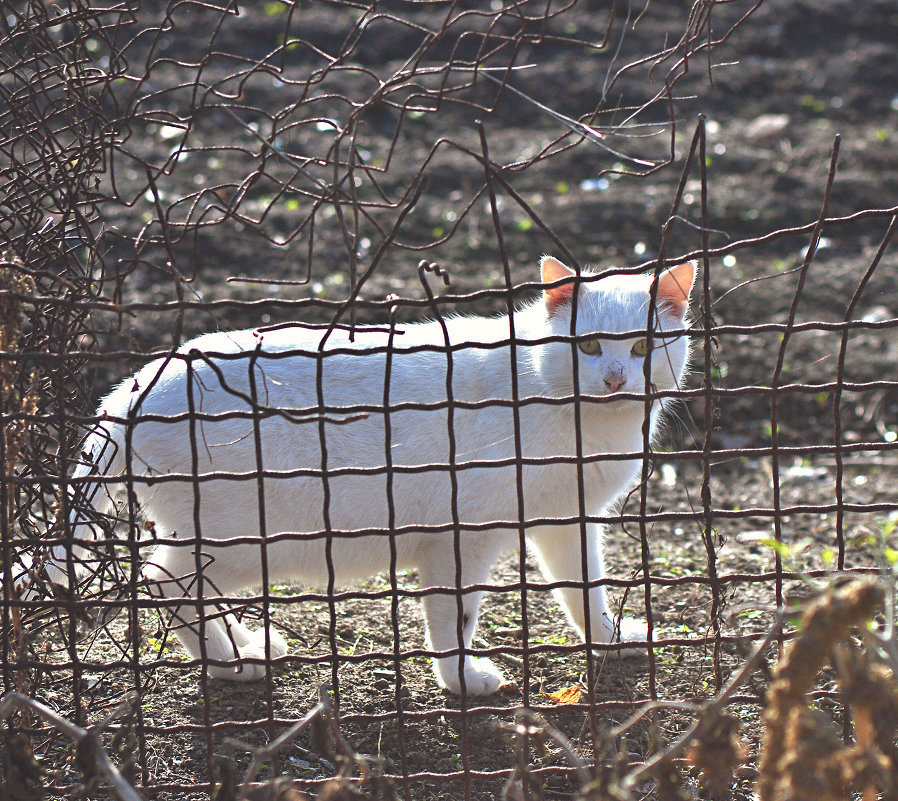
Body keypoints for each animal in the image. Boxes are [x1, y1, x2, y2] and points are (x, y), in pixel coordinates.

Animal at [49, 256, 692, 692]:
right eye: (589, 347)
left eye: (641, 349)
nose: (614, 378)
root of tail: (134, 387)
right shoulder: (461, 537)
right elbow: (454, 618)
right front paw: (463, 681)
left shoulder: (566, 521)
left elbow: (585, 589)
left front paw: (611, 640)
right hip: (246, 540)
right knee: (164, 581)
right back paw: (233, 659)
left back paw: (242, 647)